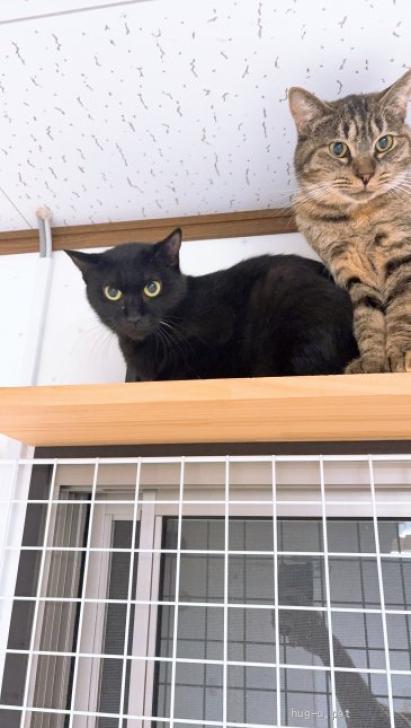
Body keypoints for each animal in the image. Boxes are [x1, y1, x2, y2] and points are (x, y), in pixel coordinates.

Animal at [289, 69, 411, 374]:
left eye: (384, 142)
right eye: (338, 148)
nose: (366, 175)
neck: (358, 219)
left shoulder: (402, 256)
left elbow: (402, 307)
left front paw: (402, 353)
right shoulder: (352, 275)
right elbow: (368, 322)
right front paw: (372, 363)